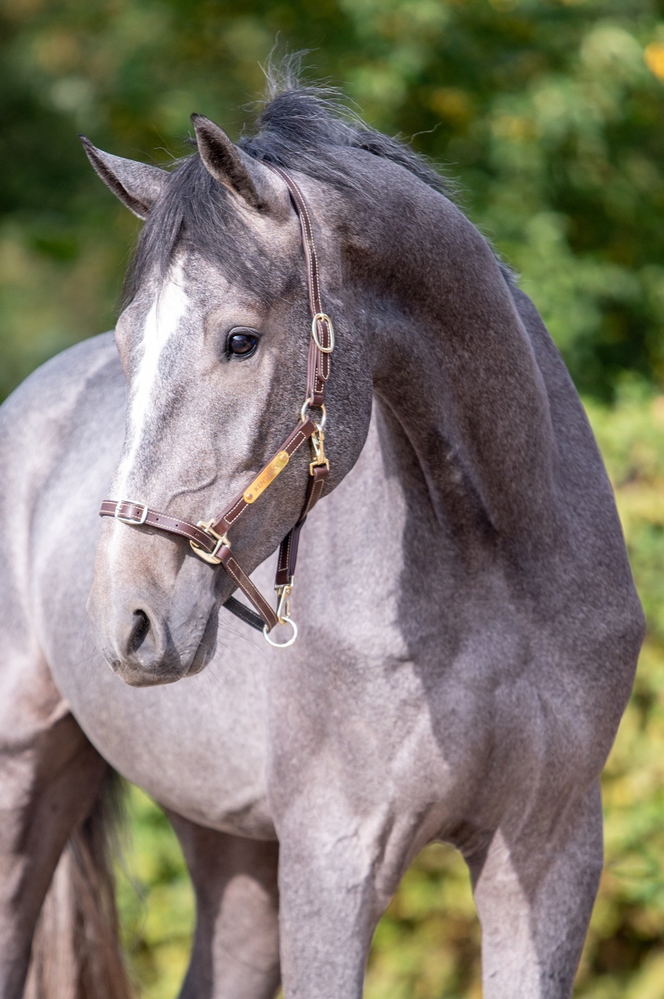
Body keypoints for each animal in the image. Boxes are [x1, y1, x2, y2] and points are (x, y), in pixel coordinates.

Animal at [0, 78, 644, 999]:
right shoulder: (333, 861)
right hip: (26, 780)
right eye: (127, 346)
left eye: (240, 339)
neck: (496, 569)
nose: (128, 618)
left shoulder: (549, 854)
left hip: (228, 849)